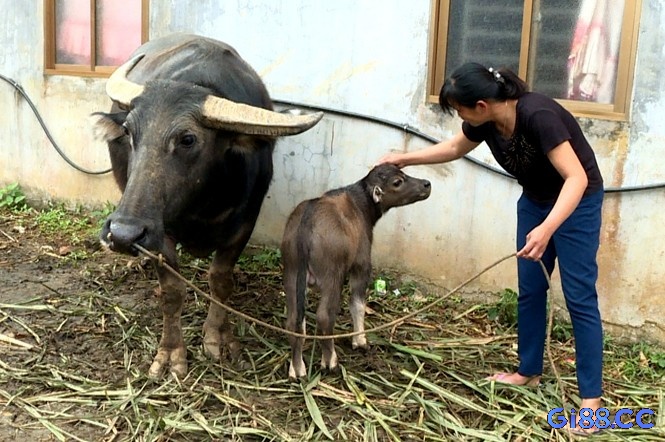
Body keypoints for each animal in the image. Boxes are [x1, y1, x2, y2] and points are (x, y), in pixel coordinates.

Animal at [91, 35, 324, 380]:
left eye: (187, 139)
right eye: (130, 132)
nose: (123, 234)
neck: (201, 205)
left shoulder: (244, 223)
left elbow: (220, 280)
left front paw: (218, 339)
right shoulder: (162, 231)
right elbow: (173, 291)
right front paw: (171, 352)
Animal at [278, 162, 430, 380]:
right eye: (397, 182)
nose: (427, 184)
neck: (361, 206)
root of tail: (306, 224)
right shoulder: (362, 265)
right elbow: (358, 304)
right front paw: (360, 341)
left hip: (291, 272)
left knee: (294, 321)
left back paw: (296, 368)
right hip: (332, 275)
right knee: (325, 316)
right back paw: (330, 362)